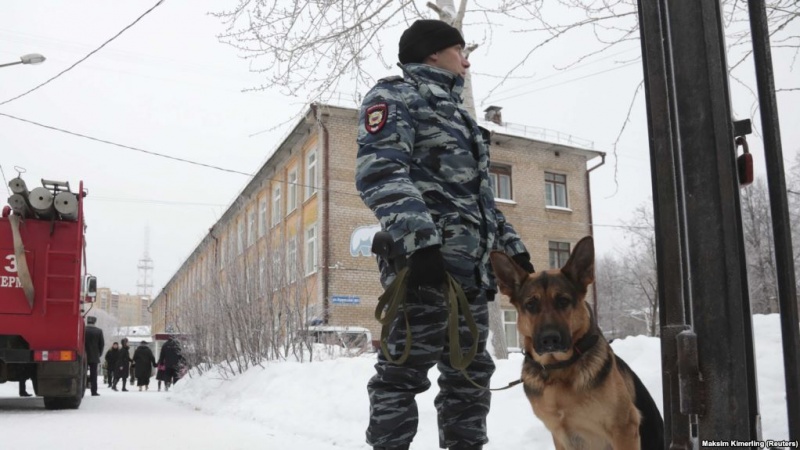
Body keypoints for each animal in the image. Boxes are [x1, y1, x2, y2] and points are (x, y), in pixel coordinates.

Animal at [490, 237, 664, 448]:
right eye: (531, 304)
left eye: (563, 301)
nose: (549, 339)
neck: (558, 368)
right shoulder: (559, 435)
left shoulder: (624, 428)